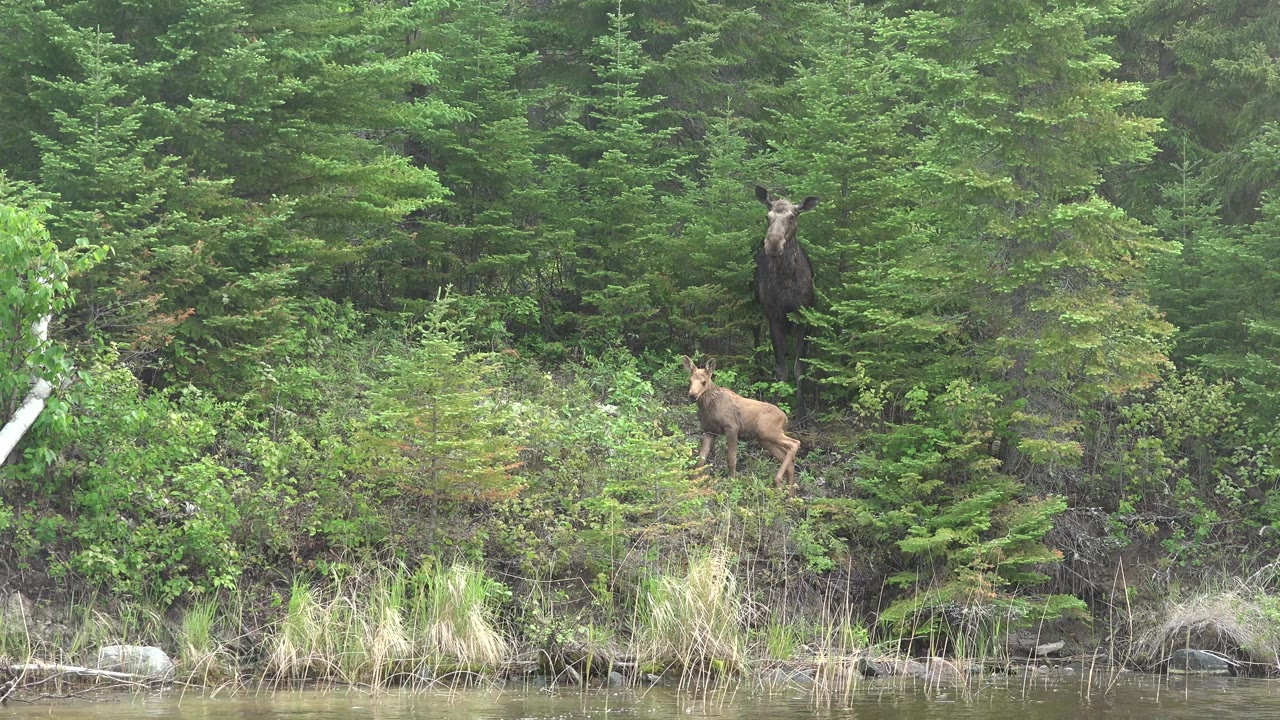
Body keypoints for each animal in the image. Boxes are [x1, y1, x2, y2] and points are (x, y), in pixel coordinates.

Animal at [681, 355, 801, 490]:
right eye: (690, 381)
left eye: (704, 382)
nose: (692, 395)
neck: (708, 407)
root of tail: (785, 418)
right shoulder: (709, 431)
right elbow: (701, 460)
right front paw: (693, 482)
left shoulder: (732, 427)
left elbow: (731, 459)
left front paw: (732, 482)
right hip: (764, 439)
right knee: (787, 458)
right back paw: (788, 493)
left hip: (768, 432)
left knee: (794, 443)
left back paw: (778, 480)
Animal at [753, 185, 817, 403]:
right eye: (768, 216)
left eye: (792, 217)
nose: (773, 243)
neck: (788, 279)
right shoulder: (775, 318)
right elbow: (781, 370)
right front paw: (779, 403)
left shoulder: (804, 318)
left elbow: (799, 368)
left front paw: (800, 409)